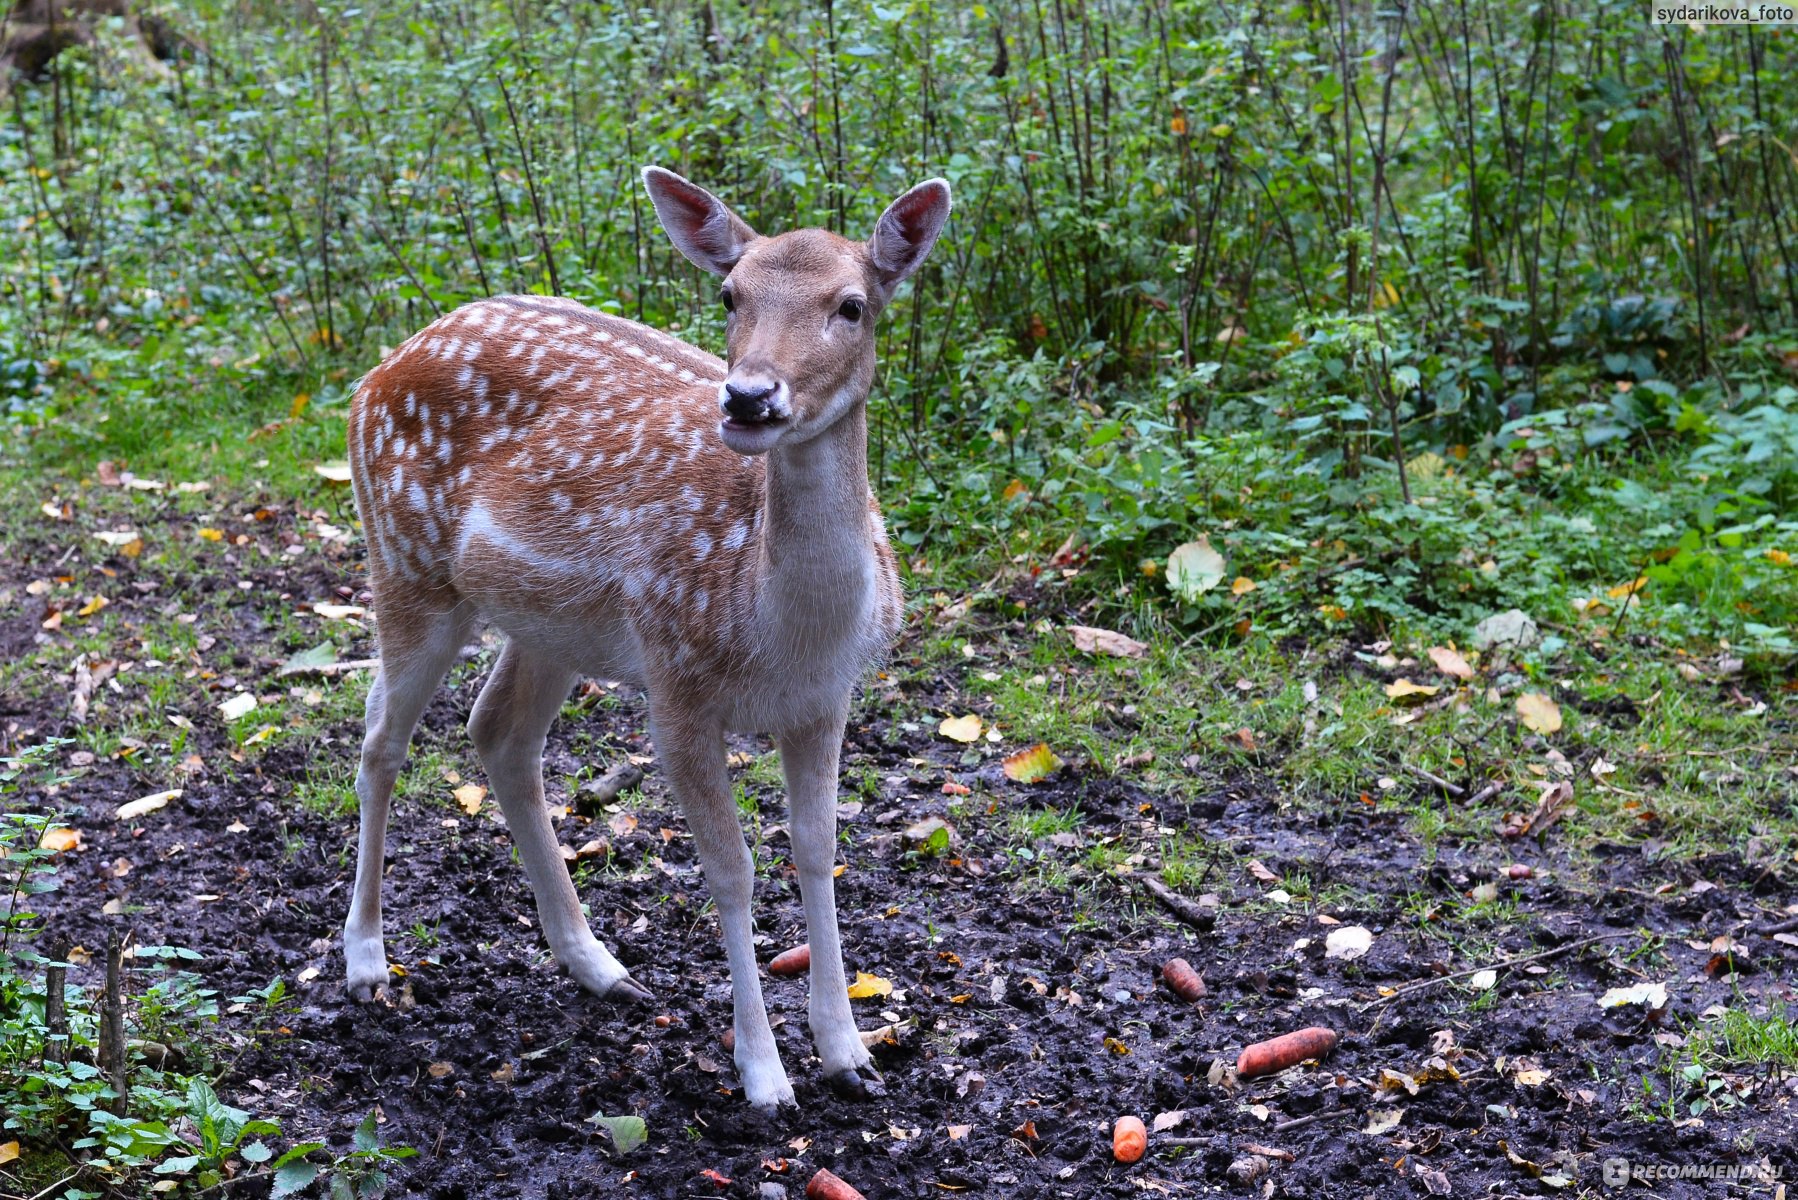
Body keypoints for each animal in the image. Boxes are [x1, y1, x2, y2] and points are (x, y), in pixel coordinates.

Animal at [339, 166, 956, 1108]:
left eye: (852, 305)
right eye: (730, 293)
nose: (748, 397)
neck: (784, 629)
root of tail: (375, 371)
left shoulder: (826, 702)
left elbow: (819, 852)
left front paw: (850, 1053)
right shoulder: (676, 687)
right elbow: (732, 871)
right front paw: (764, 1075)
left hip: (548, 625)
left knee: (498, 732)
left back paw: (597, 964)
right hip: (404, 560)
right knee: (380, 738)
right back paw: (367, 959)